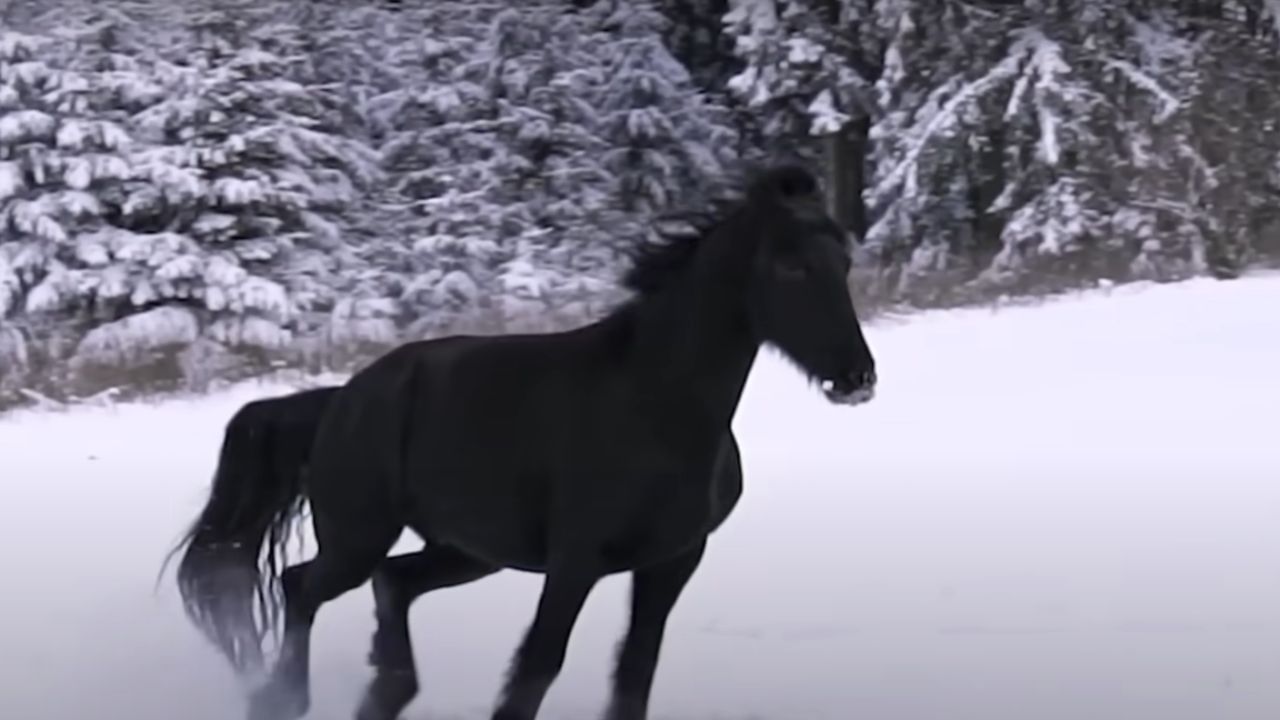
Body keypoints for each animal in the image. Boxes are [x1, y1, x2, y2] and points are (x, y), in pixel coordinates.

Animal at [172, 162, 880, 717]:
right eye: (790, 267)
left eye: (844, 262)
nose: (857, 377)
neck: (655, 407)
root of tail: (341, 401)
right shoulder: (574, 562)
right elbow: (534, 674)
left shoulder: (671, 564)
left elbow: (633, 678)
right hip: (359, 537)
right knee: (302, 587)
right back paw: (286, 700)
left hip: (466, 549)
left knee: (391, 584)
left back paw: (387, 689)